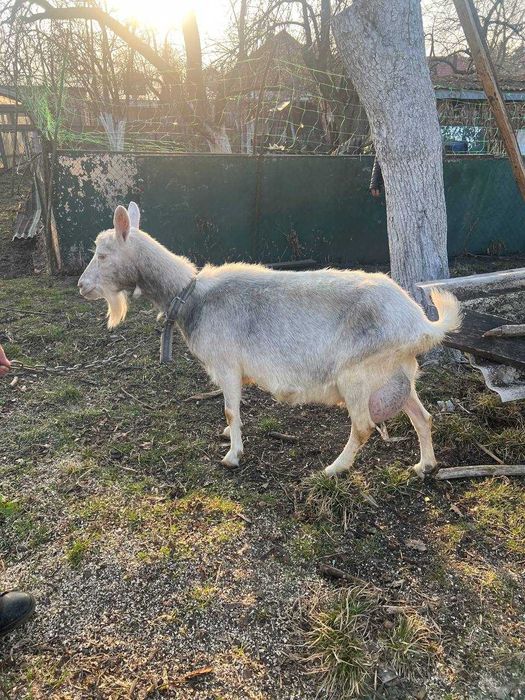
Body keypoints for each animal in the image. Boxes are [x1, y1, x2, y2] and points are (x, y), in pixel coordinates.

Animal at [78, 203, 461, 477]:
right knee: (423, 416)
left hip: (358, 374)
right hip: (396, 374)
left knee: (364, 426)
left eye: (102, 254)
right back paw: (425, 466)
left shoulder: (228, 365)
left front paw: (232, 455)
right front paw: (227, 436)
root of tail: (419, 322)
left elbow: (230, 409)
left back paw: (333, 468)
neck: (191, 296)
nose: (82, 286)